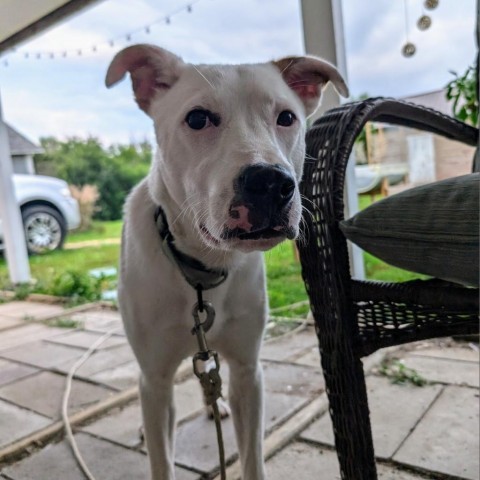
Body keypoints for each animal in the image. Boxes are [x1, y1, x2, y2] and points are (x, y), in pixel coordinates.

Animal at [106, 43, 344, 478]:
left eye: (287, 117)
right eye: (198, 118)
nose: (270, 182)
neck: (202, 266)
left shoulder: (248, 370)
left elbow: (252, 456)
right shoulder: (156, 379)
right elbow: (161, 458)